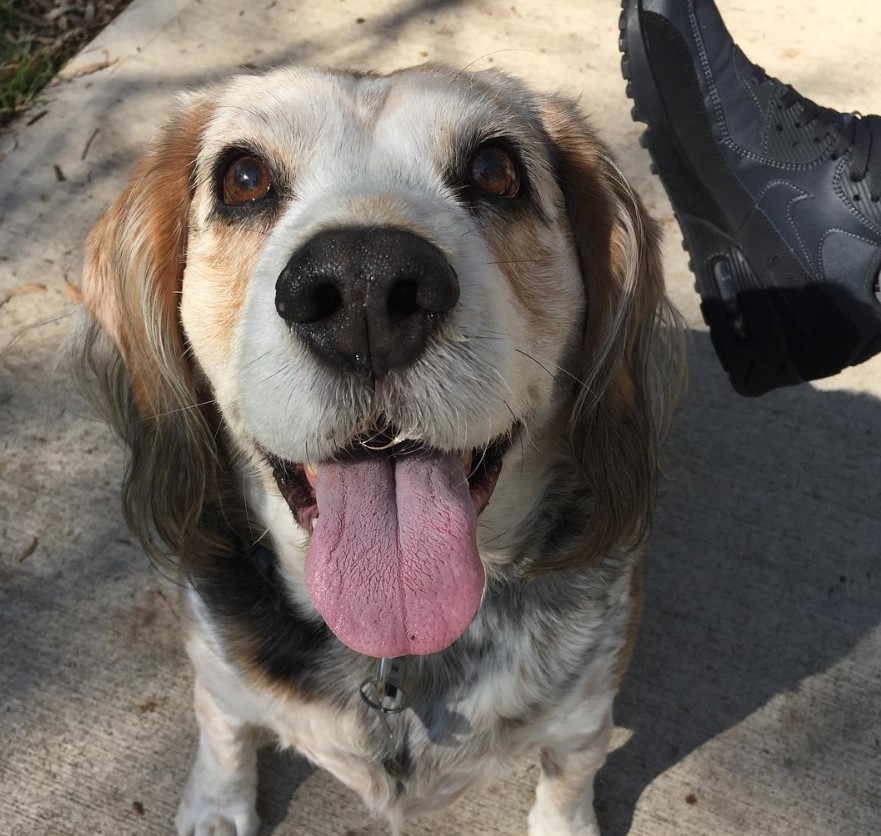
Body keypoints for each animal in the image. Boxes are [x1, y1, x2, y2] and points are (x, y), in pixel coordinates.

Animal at [75, 65, 680, 836]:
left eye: (496, 170)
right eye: (243, 177)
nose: (364, 286)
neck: (394, 651)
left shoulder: (583, 718)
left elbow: (567, 783)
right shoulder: (217, 674)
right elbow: (224, 732)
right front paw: (217, 804)